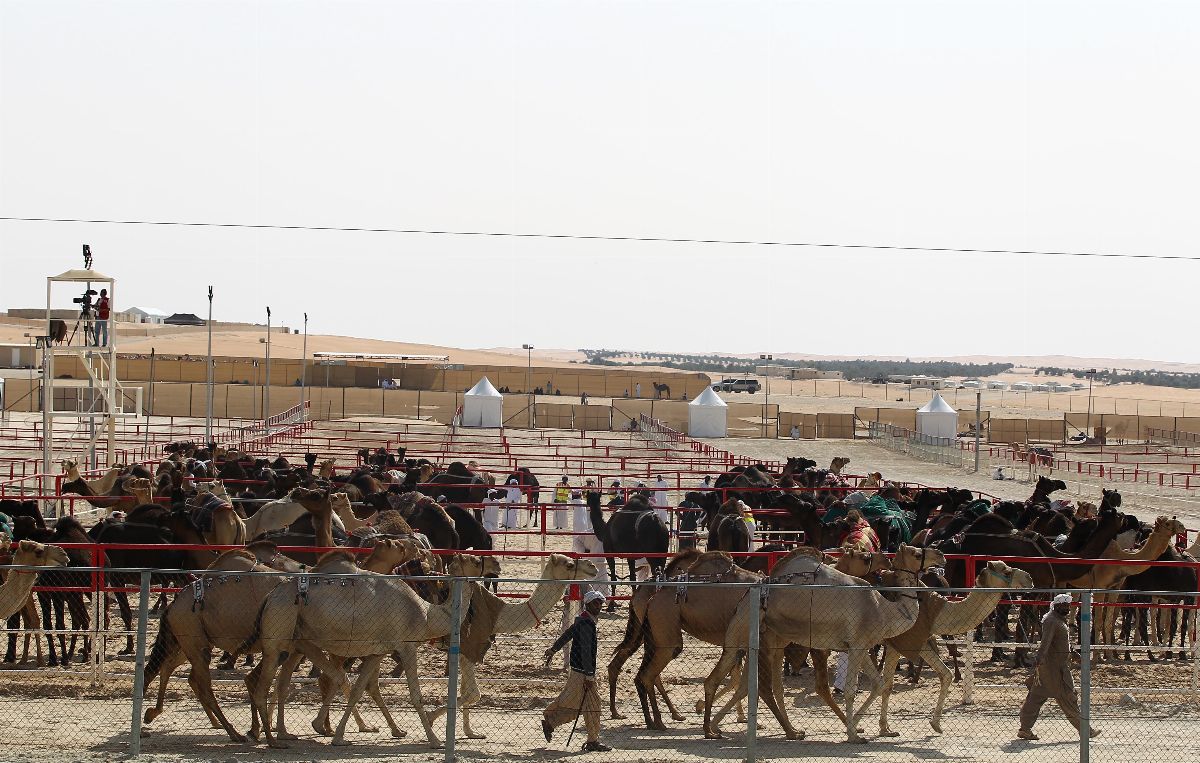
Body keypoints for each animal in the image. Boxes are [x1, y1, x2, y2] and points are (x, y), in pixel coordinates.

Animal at [247, 544, 472, 748]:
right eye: (474, 561)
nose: (489, 562)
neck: (425, 613)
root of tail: (271, 596)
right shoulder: (406, 646)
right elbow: (414, 695)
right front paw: (434, 740)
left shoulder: (378, 651)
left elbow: (358, 688)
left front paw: (341, 734)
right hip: (279, 634)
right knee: (265, 685)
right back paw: (270, 738)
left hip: (295, 642)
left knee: (283, 683)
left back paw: (281, 733)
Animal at [429, 554, 604, 739]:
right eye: (569, 564)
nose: (592, 566)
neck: (498, 615)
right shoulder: (468, 646)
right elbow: (473, 693)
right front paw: (430, 718)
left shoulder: (468, 650)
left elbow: (466, 692)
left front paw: (471, 733)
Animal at [700, 544, 945, 743]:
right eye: (916, 553)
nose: (941, 555)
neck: (882, 611)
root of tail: (746, 598)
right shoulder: (857, 643)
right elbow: (849, 690)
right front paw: (854, 735)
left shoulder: (861, 646)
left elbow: (879, 684)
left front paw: (858, 725)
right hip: (750, 632)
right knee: (734, 680)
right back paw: (712, 729)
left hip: (767, 639)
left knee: (749, 683)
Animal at [868, 561, 1036, 739]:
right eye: (1006, 571)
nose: (1029, 578)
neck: (935, 611)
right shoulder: (900, 641)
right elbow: (888, 684)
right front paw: (884, 728)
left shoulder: (918, 641)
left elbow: (945, 674)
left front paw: (934, 725)